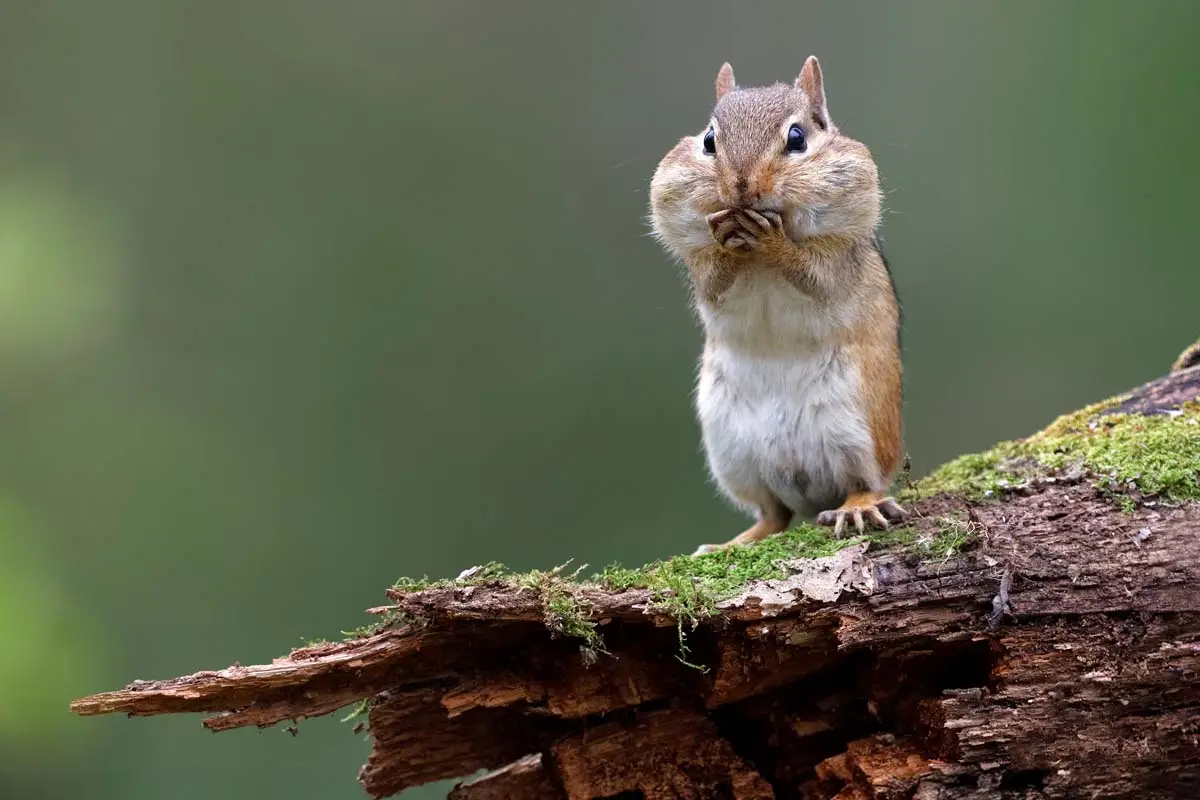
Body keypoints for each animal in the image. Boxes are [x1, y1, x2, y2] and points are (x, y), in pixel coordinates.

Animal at [648, 56, 906, 554]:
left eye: (797, 138)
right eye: (708, 141)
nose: (741, 186)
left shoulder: (837, 258)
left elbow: (814, 274)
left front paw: (772, 241)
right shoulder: (700, 266)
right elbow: (712, 281)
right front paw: (728, 238)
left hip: (860, 428)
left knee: (865, 482)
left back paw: (857, 507)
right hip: (732, 451)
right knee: (773, 514)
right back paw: (733, 543)